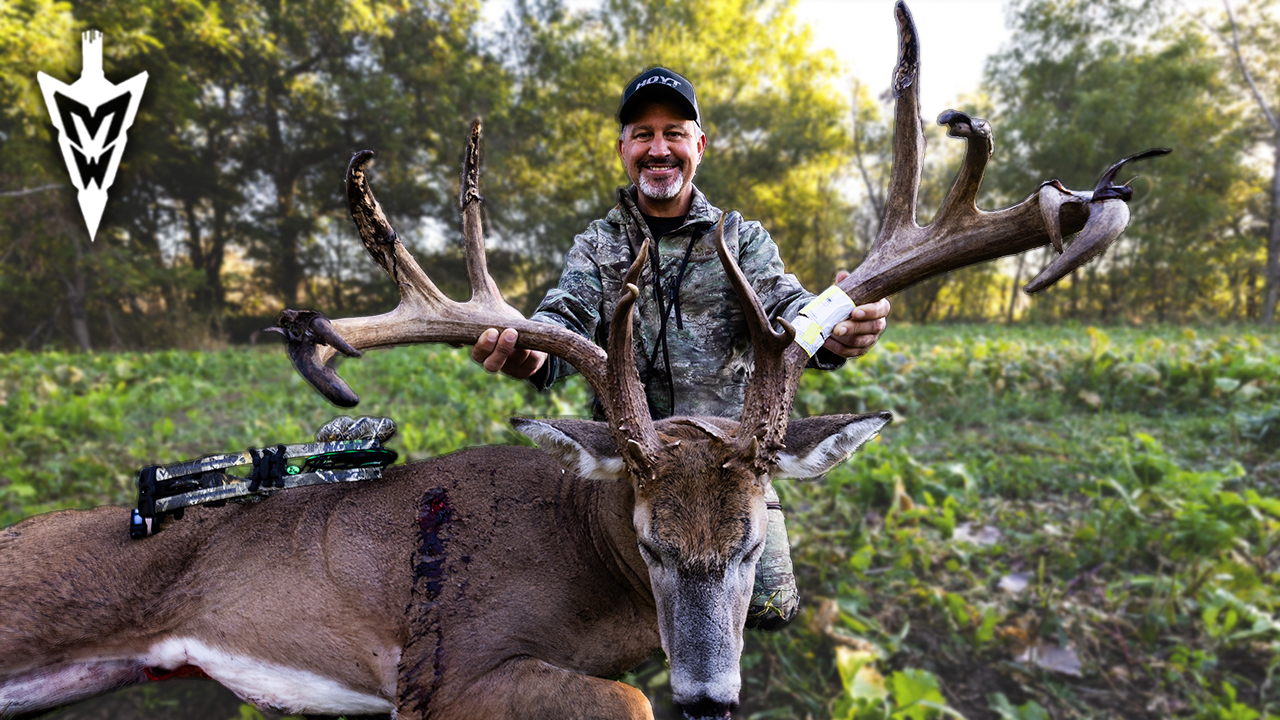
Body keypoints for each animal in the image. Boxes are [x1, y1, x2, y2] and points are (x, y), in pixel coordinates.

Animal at [0, 3, 1168, 719]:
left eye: (753, 541)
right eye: (648, 541)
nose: (712, 698)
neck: (588, 563)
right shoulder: (443, 670)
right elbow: (629, 696)